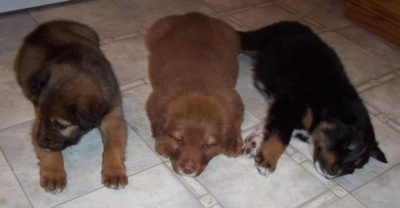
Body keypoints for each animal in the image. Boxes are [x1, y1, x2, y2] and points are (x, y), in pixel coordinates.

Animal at [14, 19, 126, 193]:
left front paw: (114, 172)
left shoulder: (113, 117)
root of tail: (44, 26)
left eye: (61, 126)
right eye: (42, 119)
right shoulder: (37, 125)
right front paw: (53, 174)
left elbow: (113, 146)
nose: (41, 143)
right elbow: (51, 153)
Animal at [145, 12, 242, 176]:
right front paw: (162, 144)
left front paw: (234, 142)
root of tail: (196, 15)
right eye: (179, 140)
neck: (197, 87)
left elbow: (236, 122)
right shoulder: (155, 101)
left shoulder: (235, 101)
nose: (188, 169)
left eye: (206, 146)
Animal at [241, 21, 388, 179]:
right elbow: (282, 135)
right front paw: (268, 161)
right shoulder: (290, 105)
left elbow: (269, 127)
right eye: (347, 146)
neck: (326, 101)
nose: (334, 171)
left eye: (354, 165)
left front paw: (253, 144)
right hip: (256, 41)